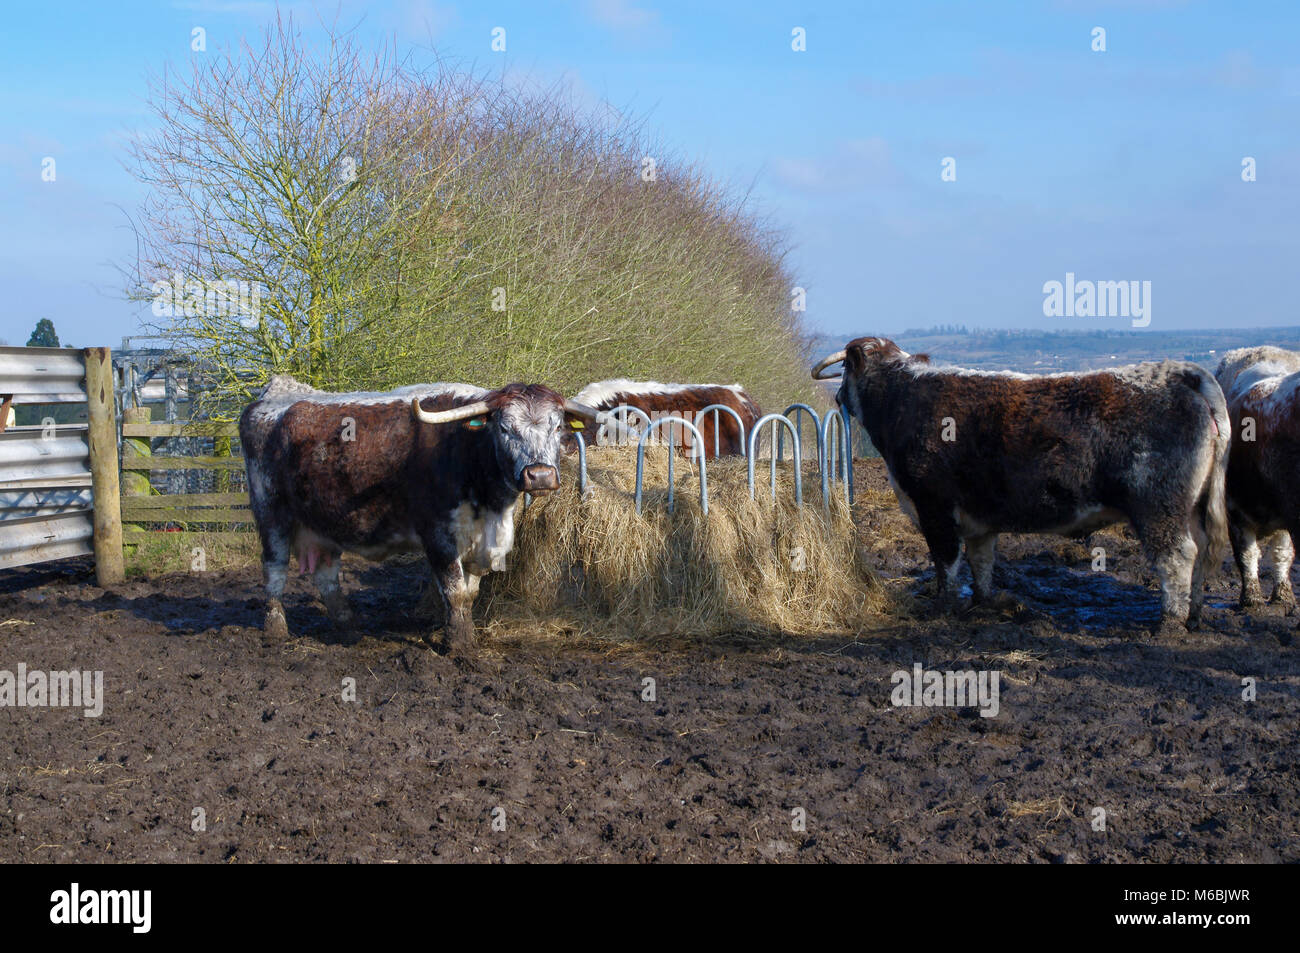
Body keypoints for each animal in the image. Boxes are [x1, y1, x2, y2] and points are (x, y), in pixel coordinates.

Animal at [239, 375, 599, 656]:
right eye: (505, 428)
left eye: (557, 427)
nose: (540, 475)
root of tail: (275, 395)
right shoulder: (438, 535)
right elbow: (454, 591)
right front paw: (460, 646)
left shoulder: (481, 541)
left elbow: (470, 593)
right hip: (271, 513)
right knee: (274, 570)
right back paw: (275, 630)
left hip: (325, 522)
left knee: (326, 576)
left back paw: (349, 627)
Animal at [813, 337, 1230, 636]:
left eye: (846, 371)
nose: (837, 395)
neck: (901, 396)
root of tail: (1179, 373)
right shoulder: (978, 517)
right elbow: (981, 561)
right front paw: (985, 602)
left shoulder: (934, 507)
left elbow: (946, 562)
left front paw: (943, 607)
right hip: (1191, 509)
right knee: (1200, 553)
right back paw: (1193, 615)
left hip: (1159, 509)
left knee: (1177, 556)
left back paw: (1169, 623)